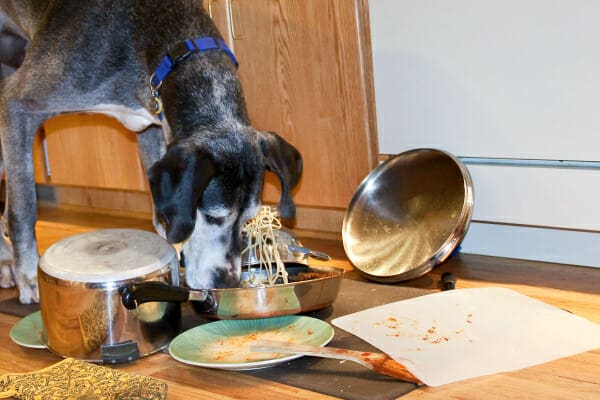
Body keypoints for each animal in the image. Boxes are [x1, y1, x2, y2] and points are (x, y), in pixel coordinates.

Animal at [0, 0, 300, 304]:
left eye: (248, 219)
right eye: (214, 217)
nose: (227, 283)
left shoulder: (153, 130)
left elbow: (160, 215)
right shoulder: (16, 104)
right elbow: (24, 209)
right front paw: (29, 279)